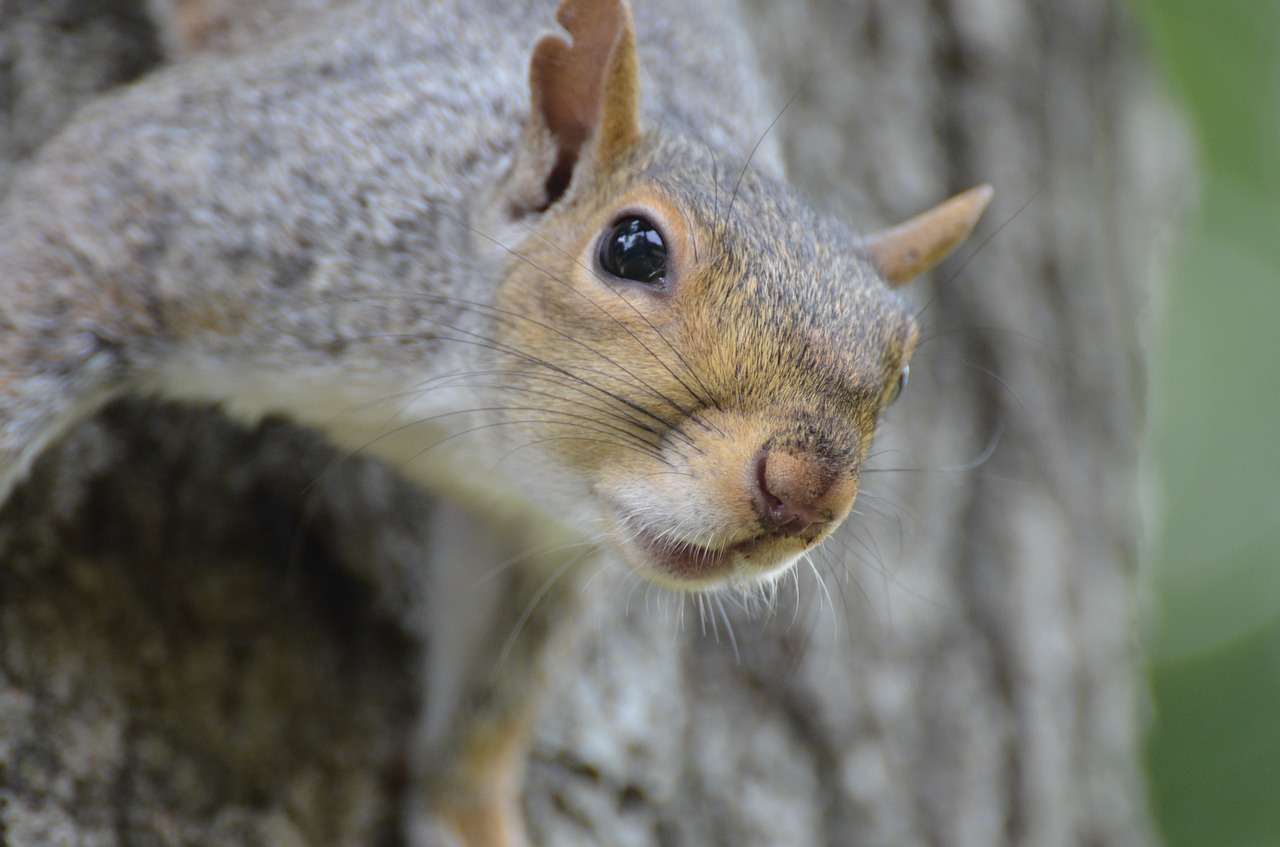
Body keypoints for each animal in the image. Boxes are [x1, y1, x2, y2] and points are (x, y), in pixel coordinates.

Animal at [0, 1, 988, 844]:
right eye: (633, 248)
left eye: (903, 372)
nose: (805, 490)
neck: (464, 430)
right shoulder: (214, 198)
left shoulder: (531, 536)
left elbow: (489, 693)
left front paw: (467, 815)